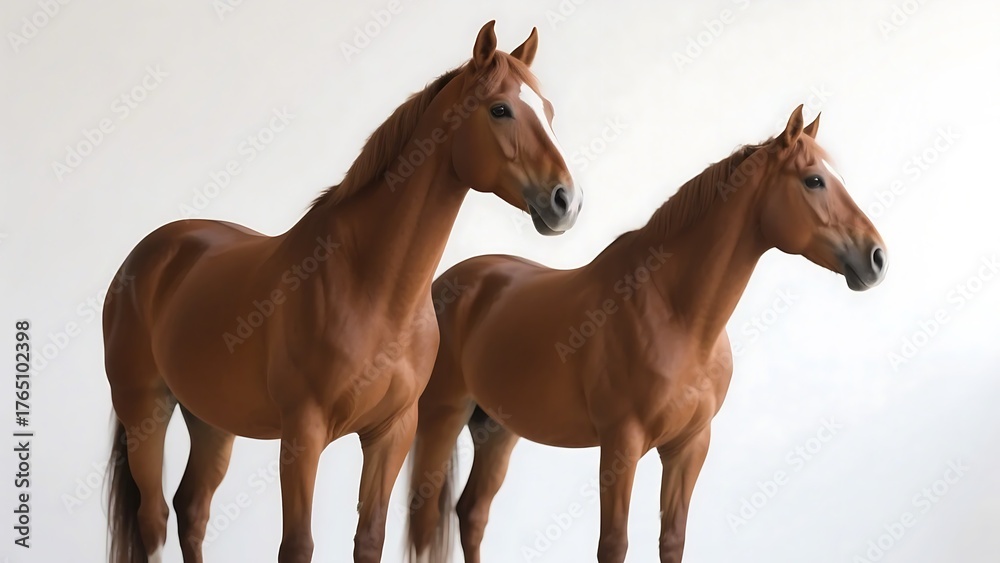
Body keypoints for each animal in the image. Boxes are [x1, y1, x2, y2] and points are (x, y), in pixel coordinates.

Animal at [103, 21, 582, 563]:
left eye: (548, 111)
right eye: (500, 109)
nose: (566, 201)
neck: (371, 289)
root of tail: (148, 254)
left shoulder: (392, 433)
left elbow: (369, 538)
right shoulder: (303, 434)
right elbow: (298, 544)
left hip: (209, 418)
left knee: (192, 508)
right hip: (145, 408)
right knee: (153, 518)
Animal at [406, 106, 887, 563]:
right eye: (814, 181)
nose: (877, 257)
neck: (680, 318)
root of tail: (445, 282)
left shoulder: (689, 446)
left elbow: (672, 541)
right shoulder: (622, 445)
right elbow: (613, 545)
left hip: (497, 428)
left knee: (471, 512)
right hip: (442, 416)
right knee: (426, 520)